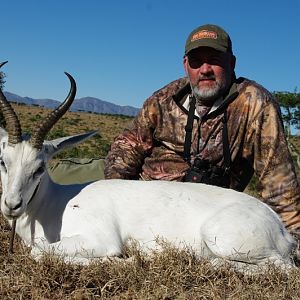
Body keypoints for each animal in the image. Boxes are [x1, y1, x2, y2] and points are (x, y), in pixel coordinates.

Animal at [0, 62, 296, 274]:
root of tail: (281, 228)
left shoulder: (99, 239)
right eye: (3, 161)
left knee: (283, 268)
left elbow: (39, 253)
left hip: (221, 239)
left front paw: (127, 261)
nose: (12, 205)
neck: (57, 204)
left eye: (40, 167)